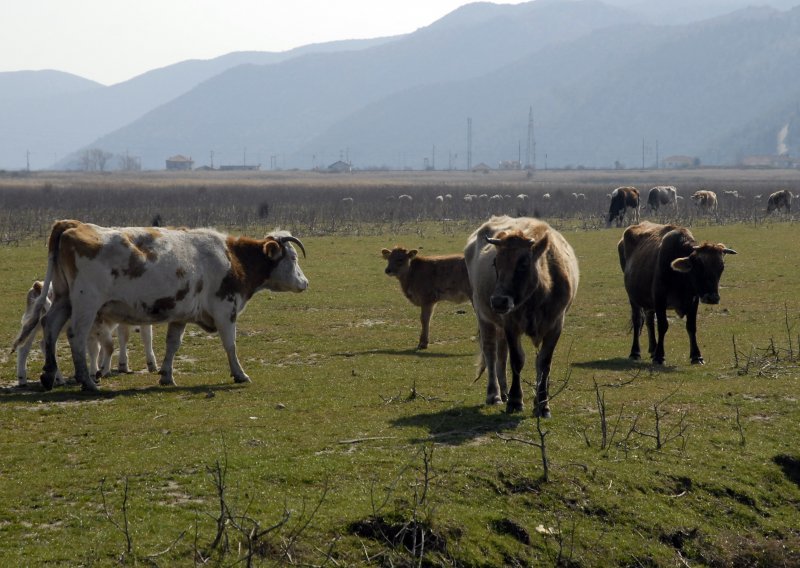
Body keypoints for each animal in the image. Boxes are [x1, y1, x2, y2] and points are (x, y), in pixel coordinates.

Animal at [14, 280, 157, 386]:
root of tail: (38, 285)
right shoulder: (97, 327)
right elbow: (106, 347)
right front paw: (98, 372)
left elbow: (100, 348)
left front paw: (98, 370)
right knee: (43, 345)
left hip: (33, 325)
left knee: (26, 347)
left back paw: (24, 379)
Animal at [462, 215, 580, 414]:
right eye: (495, 263)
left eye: (523, 263)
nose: (499, 301)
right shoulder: (511, 324)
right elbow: (517, 360)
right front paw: (516, 400)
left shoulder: (556, 325)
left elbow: (543, 363)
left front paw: (542, 404)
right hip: (484, 317)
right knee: (491, 352)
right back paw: (494, 395)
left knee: (501, 354)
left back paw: (504, 392)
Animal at [620, 220, 736, 366]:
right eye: (698, 266)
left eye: (721, 267)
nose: (712, 298)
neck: (681, 278)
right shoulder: (659, 299)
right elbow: (663, 325)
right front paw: (659, 356)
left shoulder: (693, 300)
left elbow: (691, 326)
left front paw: (696, 356)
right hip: (633, 298)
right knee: (637, 320)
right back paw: (635, 352)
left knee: (649, 320)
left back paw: (652, 349)